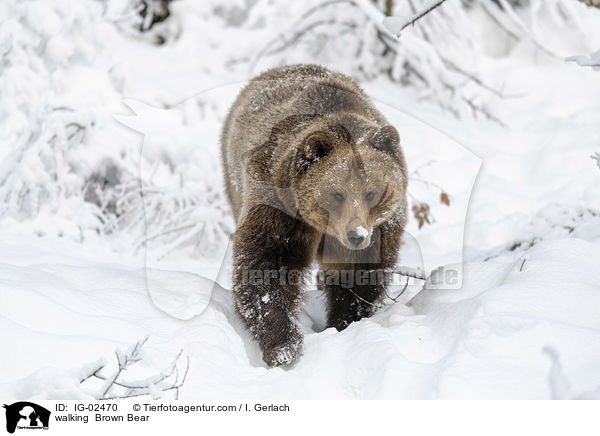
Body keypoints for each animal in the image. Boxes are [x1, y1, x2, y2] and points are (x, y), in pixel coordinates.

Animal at [220, 63, 408, 366]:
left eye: (371, 193)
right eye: (337, 193)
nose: (356, 235)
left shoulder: (380, 228)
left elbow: (358, 275)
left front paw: (344, 322)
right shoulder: (280, 205)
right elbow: (267, 265)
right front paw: (283, 345)